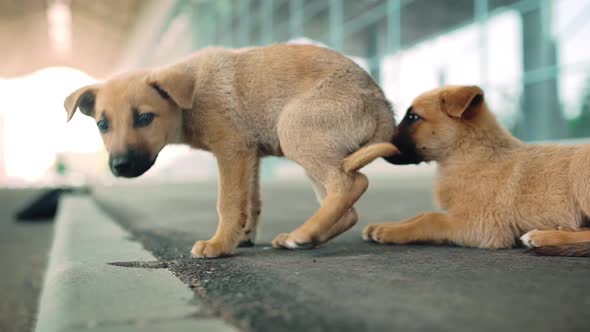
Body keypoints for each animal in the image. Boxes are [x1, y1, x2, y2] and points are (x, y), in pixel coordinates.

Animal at [63, 42, 398, 258]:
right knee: (347, 209)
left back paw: (303, 234)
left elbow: (228, 202)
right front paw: (243, 235)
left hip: (294, 129)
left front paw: (220, 244)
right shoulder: (251, 154)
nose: (119, 166)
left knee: (350, 183)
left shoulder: (232, 149)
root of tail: (380, 102)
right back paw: (305, 236)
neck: (190, 95)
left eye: (145, 118)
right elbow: (250, 200)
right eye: (102, 125)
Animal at [364, 85, 590, 256]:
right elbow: (420, 215)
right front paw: (384, 227)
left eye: (413, 117)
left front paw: (389, 232)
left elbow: (430, 218)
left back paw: (543, 236)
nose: (375, 145)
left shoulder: (480, 226)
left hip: (580, 167)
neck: (471, 155)